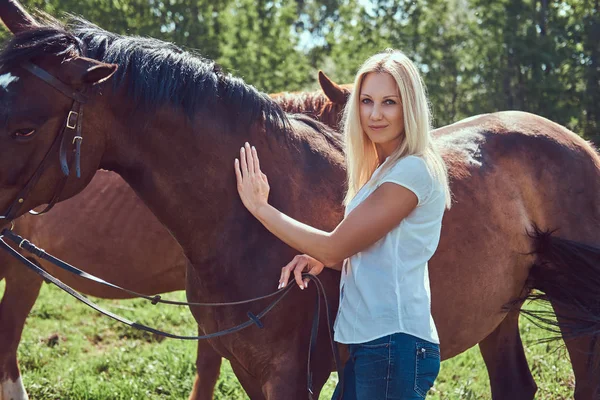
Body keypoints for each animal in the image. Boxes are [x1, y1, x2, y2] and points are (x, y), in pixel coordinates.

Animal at [0, 7, 596, 400]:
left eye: (24, 126)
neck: (242, 230)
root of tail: (578, 145)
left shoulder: (290, 374)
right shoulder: (245, 365)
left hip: (578, 314)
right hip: (498, 311)